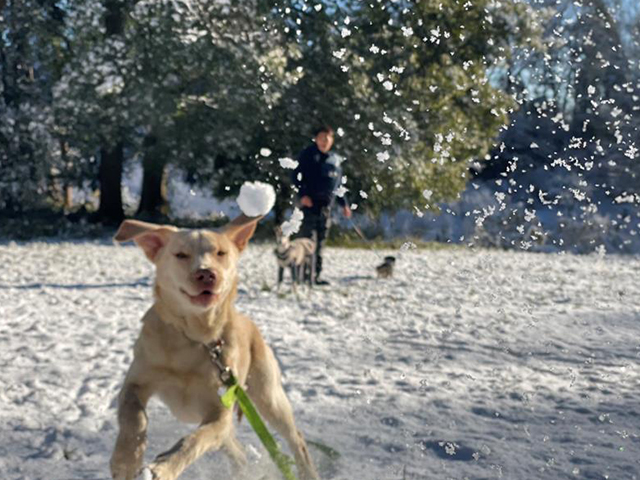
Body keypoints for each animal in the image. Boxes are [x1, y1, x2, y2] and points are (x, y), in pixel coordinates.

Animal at [112, 216, 320, 480]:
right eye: (181, 254)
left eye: (221, 253)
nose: (206, 274)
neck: (195, 337)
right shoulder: (135, 384)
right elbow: (134, 418)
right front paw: (125, 460)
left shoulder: (221, 413)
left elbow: (194, 441)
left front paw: (163, 468)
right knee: (238, 452)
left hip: (269, 397)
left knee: (296, 439)